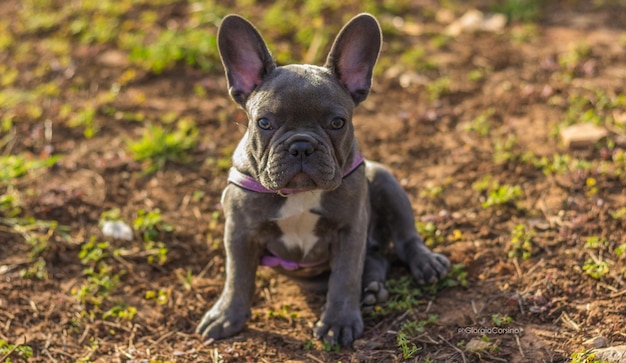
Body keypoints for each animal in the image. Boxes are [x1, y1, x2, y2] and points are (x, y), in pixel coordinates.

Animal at [196, 12, 448, 346]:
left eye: (337, 123)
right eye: (264, 123)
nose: (301, 145)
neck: (299, 194)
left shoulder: (349, 230)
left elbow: (345, 277)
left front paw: (338, 322)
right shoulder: (240, 231)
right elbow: (237, 276)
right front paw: (226, 316)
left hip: (384, 179)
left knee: (405, 238)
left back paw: (422, 264)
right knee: (377, 259)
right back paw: (371, 290)